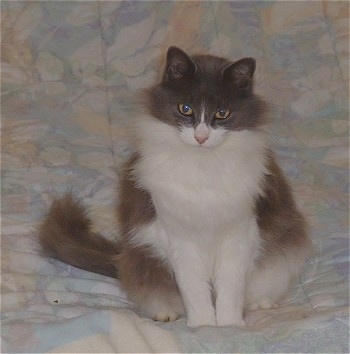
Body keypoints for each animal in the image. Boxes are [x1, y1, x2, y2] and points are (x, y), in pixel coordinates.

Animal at [39, 45, 314, 328]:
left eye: (222, 114)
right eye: (185, 108)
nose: (201, 137)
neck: (202, 167)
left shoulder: (239, 233)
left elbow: (231, 289)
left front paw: (229, 325)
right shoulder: (178, 236)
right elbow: (193, 289)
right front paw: (204, 325)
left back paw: (262, 303)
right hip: (143, 255)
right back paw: (165, 313)